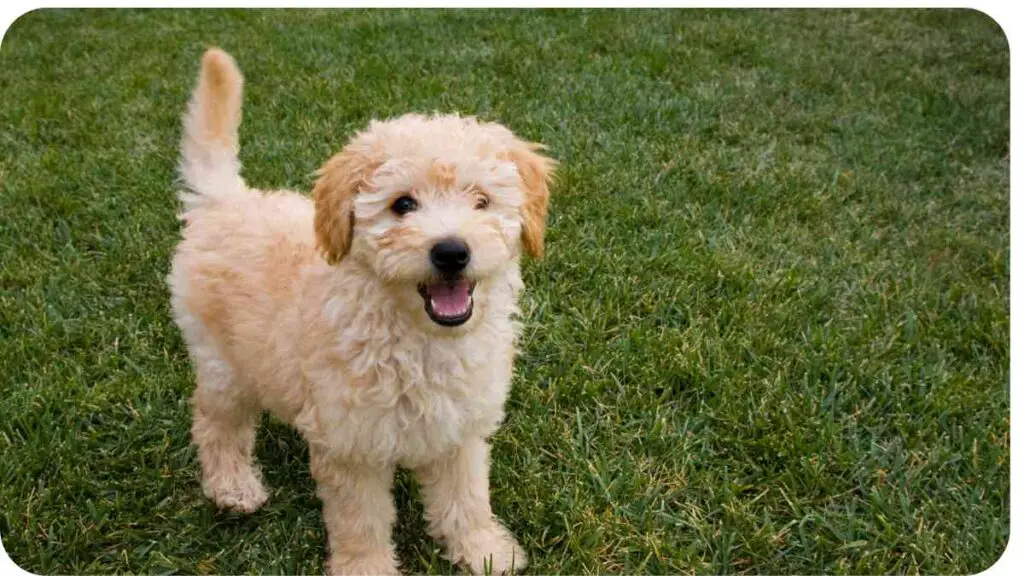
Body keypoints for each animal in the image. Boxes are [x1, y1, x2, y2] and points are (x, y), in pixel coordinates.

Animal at [167, 49, 552, 573]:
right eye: (402, 205)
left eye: (481, 201)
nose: (452, 252)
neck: (418, 339)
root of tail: (225, 201)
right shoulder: (352, 447)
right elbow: (361, 521)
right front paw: (367, 566)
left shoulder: (460, 429)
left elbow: (467, 497)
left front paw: (484, 550)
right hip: (223, 363)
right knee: (215, 423)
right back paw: (233, 486)